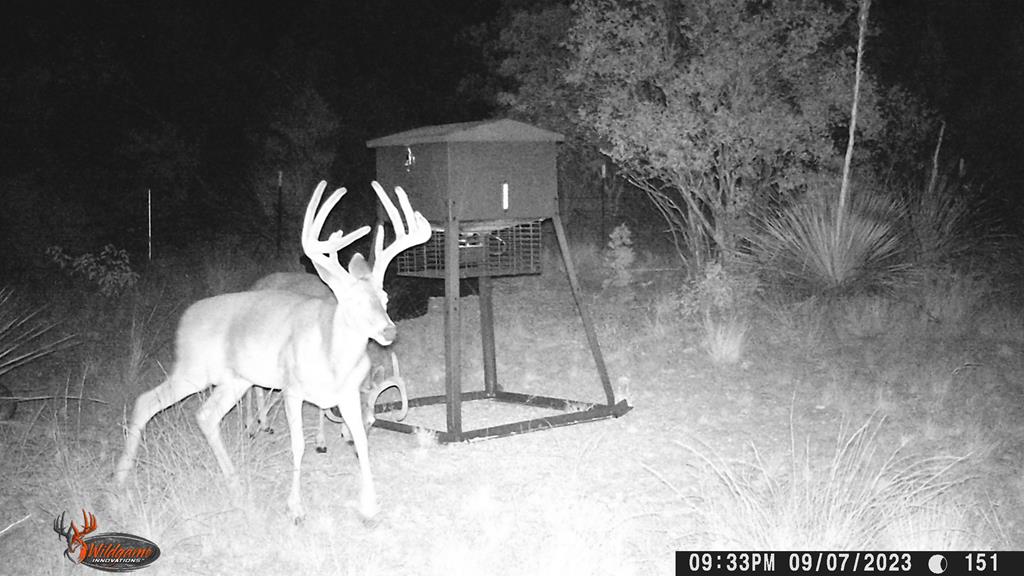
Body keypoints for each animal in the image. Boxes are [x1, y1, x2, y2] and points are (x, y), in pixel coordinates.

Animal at [114, 180, 430, 522]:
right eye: (352, 302)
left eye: (384, 298)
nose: (389, 331)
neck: (333, 359)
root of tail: (184, 319)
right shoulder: (292, 389)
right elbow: (298, 445)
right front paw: (296, 508)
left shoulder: (347, 393)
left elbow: (360, 438)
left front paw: (369, 505)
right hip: (192, 369)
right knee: (145, 401)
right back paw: (119, 480)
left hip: (234, 380)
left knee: (206, 415)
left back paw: (235, 486)